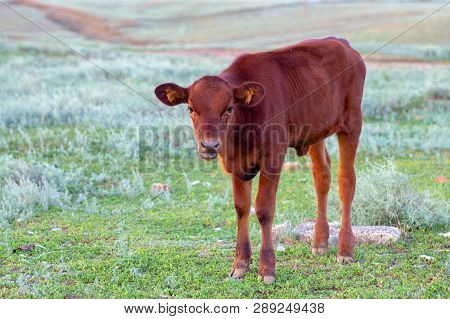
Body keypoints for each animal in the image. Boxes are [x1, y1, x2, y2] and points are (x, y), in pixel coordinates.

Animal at [155, 37, 366, 284]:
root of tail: (342, 43)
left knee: (346, 181)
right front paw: (240, 264)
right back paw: (320, 243)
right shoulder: (236, 164)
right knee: (322, 176)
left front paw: (267, 269)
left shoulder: (273, 157)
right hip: (316, 132)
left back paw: (345, 250)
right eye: (190, 108)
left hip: (352, 123)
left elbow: (264, 209)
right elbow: (241, 208)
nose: (209, 145)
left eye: (229, 108)